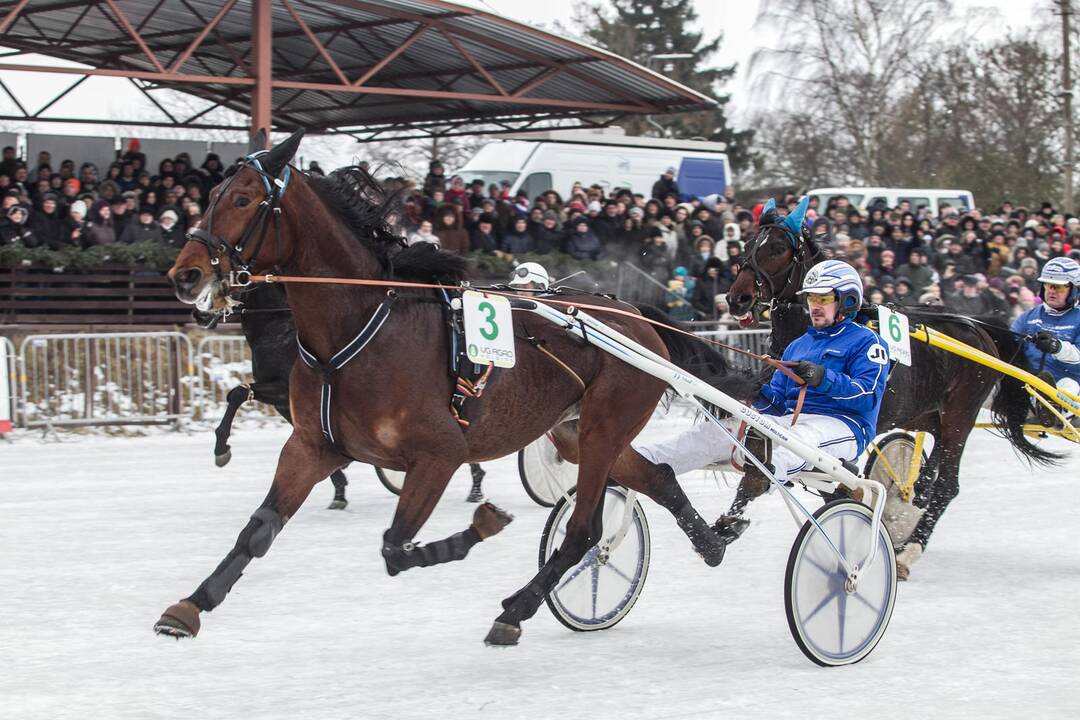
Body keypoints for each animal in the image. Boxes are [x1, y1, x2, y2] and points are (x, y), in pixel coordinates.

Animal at [203, 280, 490, 507]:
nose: (199, 313)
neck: (279, 329)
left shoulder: (284, 391)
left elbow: (238, 393)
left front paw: (221, 449)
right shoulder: (296, 404)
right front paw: (339, 484)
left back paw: (476, 487)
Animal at [721, 201, 1058, 578]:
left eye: (778, 247)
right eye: (748, 244)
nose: (737, 298)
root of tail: (981, 331)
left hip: (959, 415)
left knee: (947, 485)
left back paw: (909, 550)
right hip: (927, 415)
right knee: (928, 475)